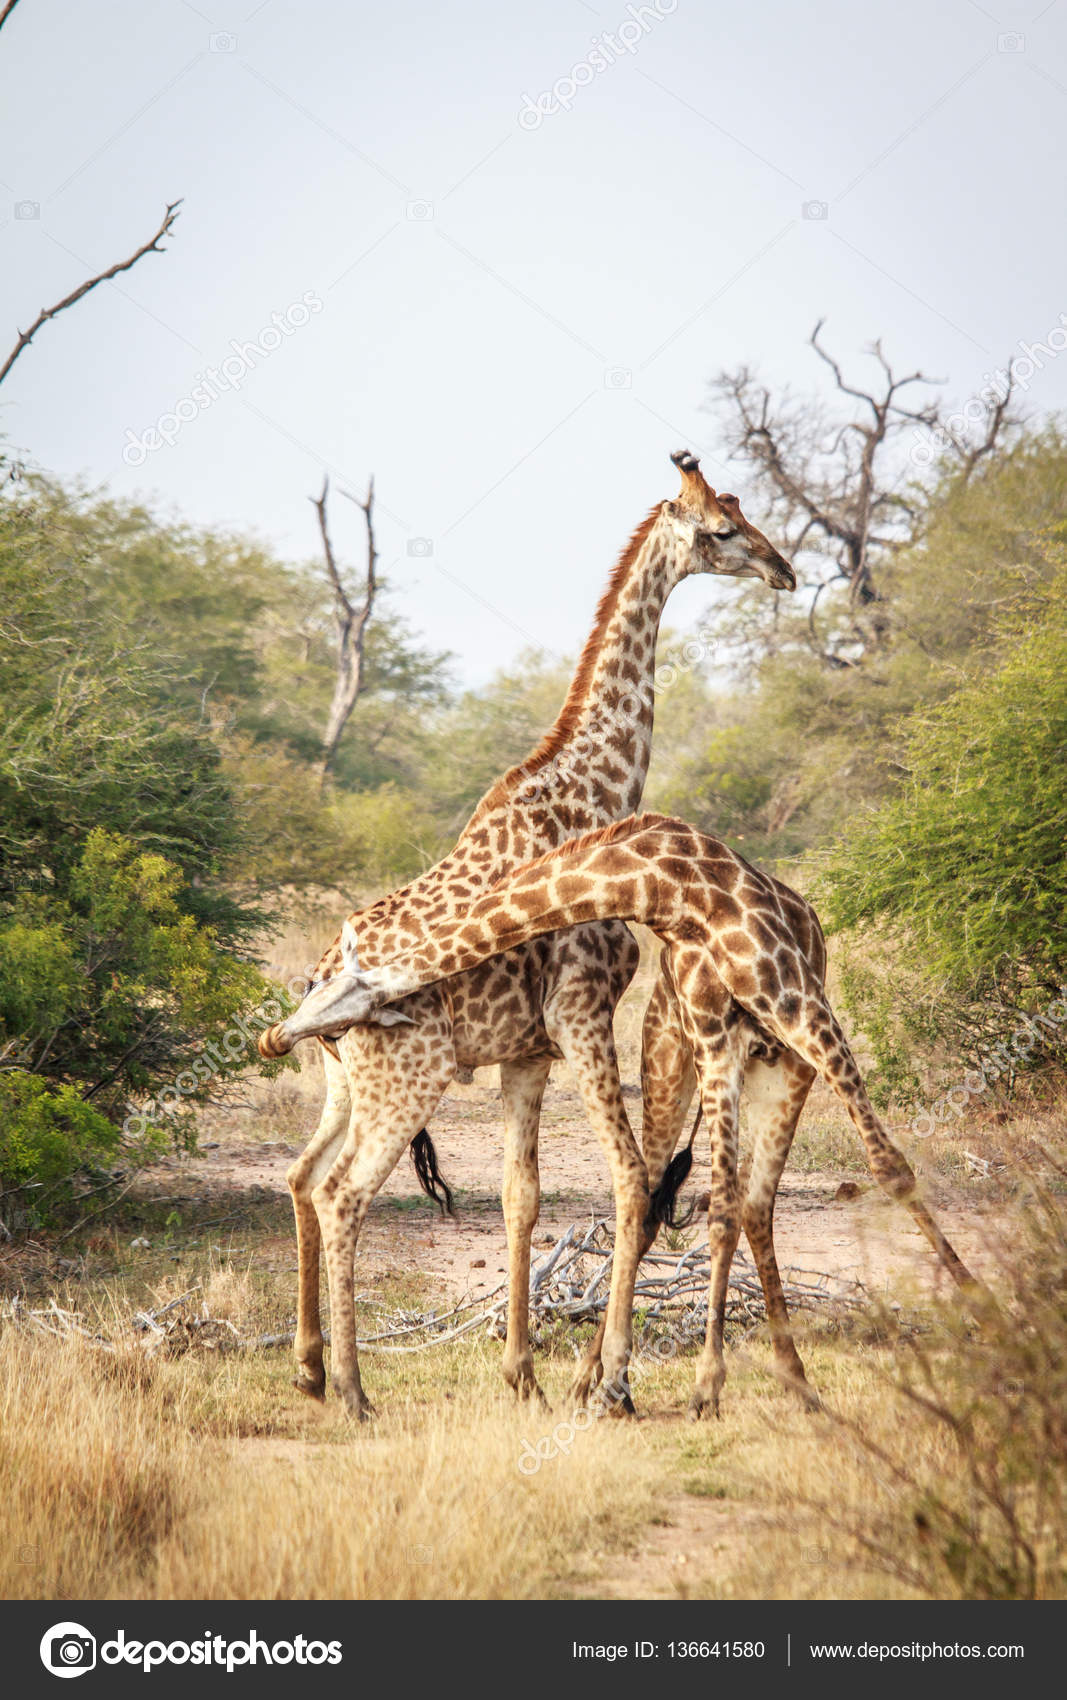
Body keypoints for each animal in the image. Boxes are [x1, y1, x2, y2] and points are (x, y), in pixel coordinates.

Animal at [259, 457, 796, 1419]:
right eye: (721, 530)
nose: (785, 571)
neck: (594, 791)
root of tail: (311, 996)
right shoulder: (582, 1014)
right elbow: (627, 1181)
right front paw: (611, 1381)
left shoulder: (527, 1052)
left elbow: (522, 1196)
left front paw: (524, 1376)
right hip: (409, 1080)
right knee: (345, 1194)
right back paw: (355, 1391)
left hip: (347, 1083)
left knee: (303, 1178)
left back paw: (311, 1368)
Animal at [269, 812, 977, 1419]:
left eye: (333, 997)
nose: (279, 1037)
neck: (667, 884)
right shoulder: (713, 1034)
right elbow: (712, 1206)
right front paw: (699, 1386)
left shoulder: (803, 1009)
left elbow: (888, 1165)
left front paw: (981, 1309)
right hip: (681, 1059)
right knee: (708, 1197)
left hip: (782, 1064)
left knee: (749, 1201)